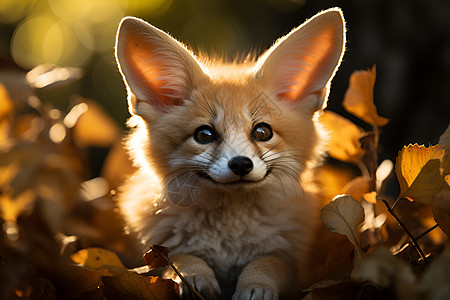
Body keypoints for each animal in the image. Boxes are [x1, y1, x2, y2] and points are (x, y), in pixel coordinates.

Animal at [115, 8, 344, 300]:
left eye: (262, 132)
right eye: (204, 135)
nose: (241, 164)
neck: (229, 240)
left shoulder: (295, 262)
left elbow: (269, 263)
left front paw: (256, 286)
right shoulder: (155, 253)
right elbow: (182, 260)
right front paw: (196, 278)